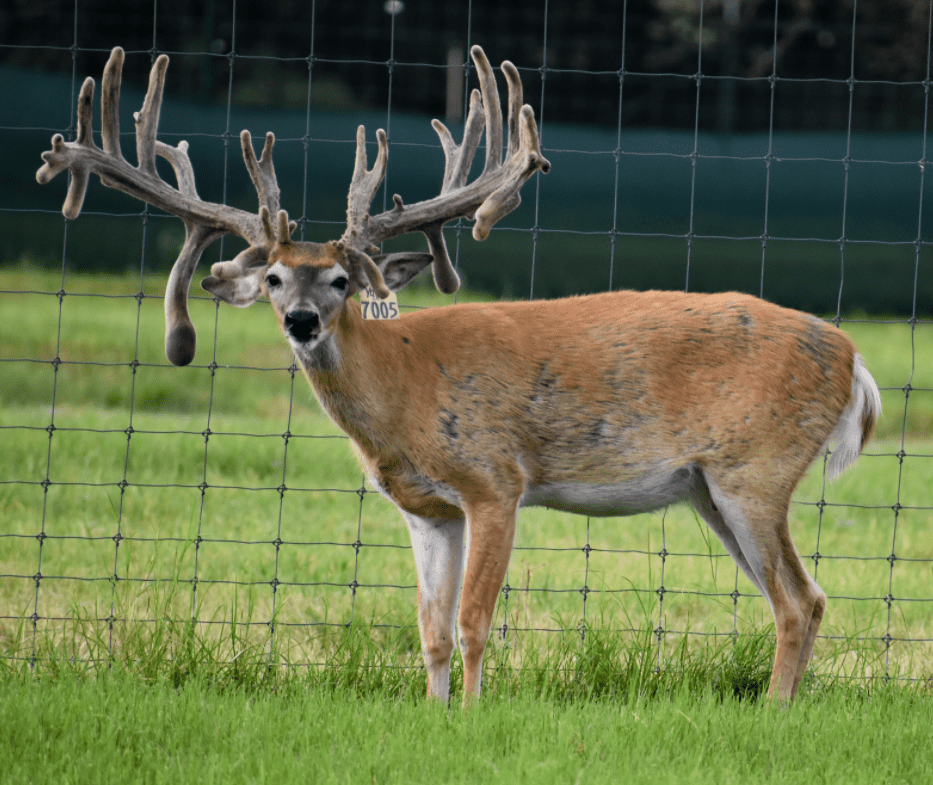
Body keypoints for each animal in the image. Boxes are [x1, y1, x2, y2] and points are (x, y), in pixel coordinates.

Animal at [37, 45, 881, 705]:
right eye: (273, 277)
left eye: (340, 280)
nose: (303, 321)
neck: (401, 390)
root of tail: (851, 357)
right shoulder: (424, 508)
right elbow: (431, 629)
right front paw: (435, 713)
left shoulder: (495, 479)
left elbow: (475, 621)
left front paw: (472, 717)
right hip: (708, 486)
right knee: (801, 597)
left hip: (755, 468)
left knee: (797, 599)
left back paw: (773, 713)